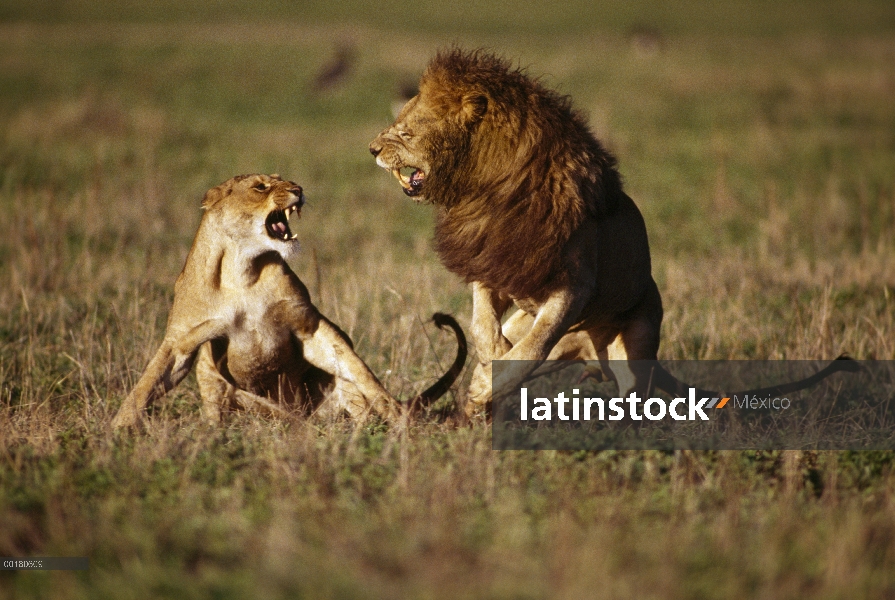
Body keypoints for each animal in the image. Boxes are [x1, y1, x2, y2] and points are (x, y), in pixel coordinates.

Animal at [110, 171, 468, 428]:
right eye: (260, 186)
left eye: (282, 177)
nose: (298, 188)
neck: (241, 269)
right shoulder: (182, 340)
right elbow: (147, 383)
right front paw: (117, 428)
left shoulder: (308, 325)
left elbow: (360, 370)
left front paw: (396, 415)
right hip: (211, 375)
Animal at [372, 48, 860, 418]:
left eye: (407, 130)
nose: (373, 148)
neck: (490, 185)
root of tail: (590, 350)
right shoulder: (495, 263)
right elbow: (481, 323)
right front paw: (489, 358)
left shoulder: (575, 285)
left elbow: (536, 344)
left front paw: (484, 384)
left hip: (636, 346)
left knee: (629, 396)